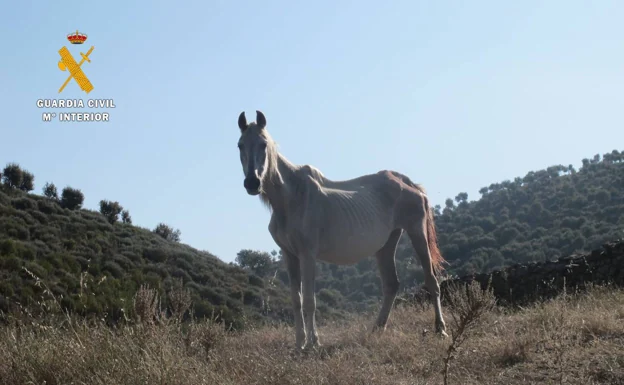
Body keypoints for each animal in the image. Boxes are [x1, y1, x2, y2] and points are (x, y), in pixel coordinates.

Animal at [236, 110, 446, 348]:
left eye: (263, 144)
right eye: (240, 145)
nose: (252, 183)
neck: (292, 198)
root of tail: (406, 182)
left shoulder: (307, 255)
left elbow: (309, 300)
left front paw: (313, 343)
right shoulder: (290, 255)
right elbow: (296, 300)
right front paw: (299, 343)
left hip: (417, 232)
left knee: (431, 280)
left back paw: (441, 329)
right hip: (387, 244)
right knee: (391, 284)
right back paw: (376, 330)